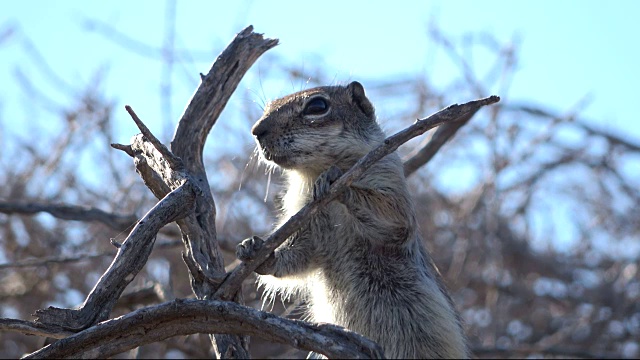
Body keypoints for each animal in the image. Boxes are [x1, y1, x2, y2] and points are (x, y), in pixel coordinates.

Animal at [238, 80, 468, 358]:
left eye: (317, 106)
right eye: (269, 106)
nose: (256, 130)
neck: (312, 172)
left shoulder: (391, 186)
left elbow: (391, 217)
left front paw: (335, 180)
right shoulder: (308, 222)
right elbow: (300, 254)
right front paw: (257, 250)